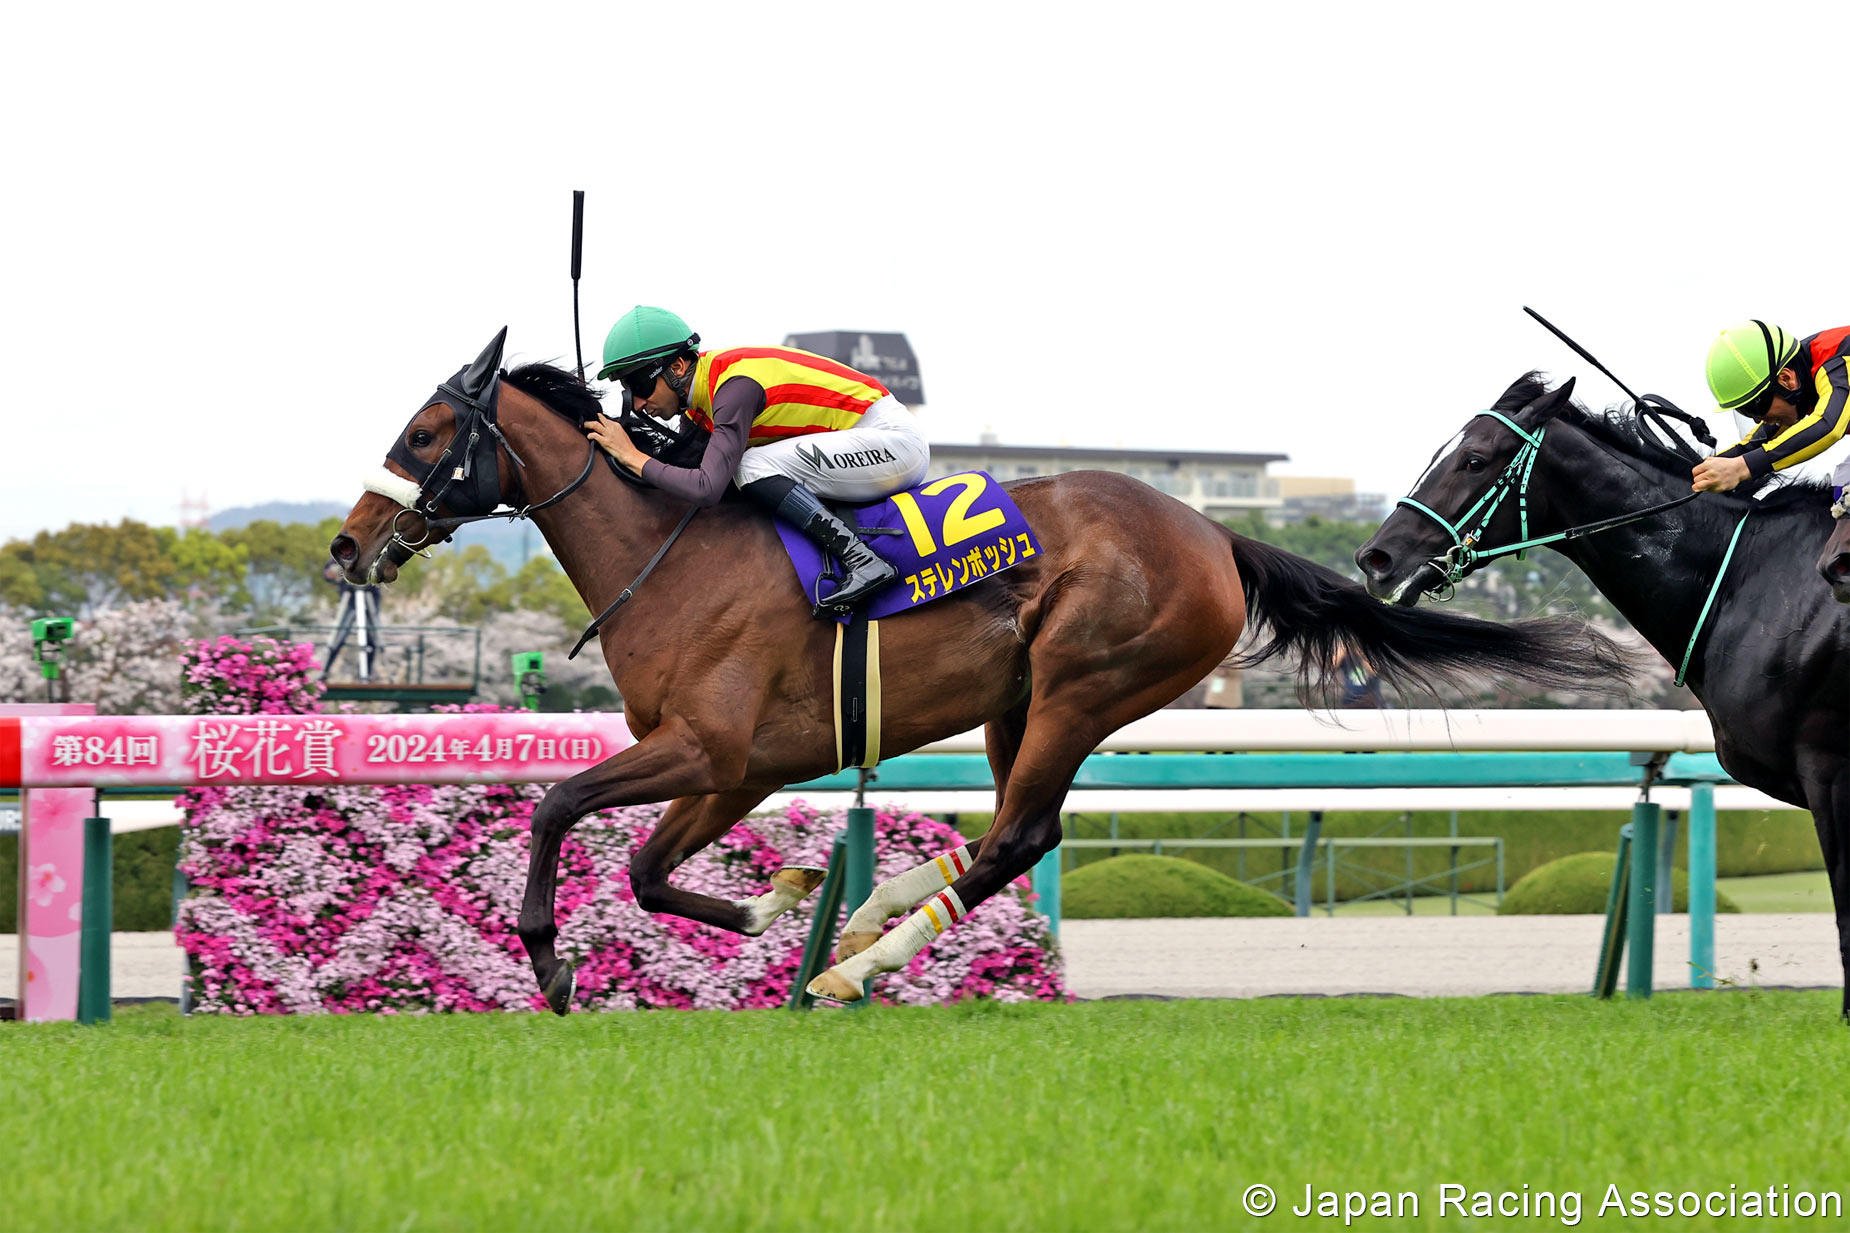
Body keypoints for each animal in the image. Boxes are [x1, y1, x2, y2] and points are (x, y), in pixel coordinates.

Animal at [333, 331, 1635, 1007]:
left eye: (423, 435)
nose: (347, 544)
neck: (674, 551)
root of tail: (1213, 534)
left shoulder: (705, 745)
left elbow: (556, 804)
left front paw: (550, 963)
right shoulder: (738, 767)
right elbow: (651, 873)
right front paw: (777, 898)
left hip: (1081, 681)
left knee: (1019, 833)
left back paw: (864, 962)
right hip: (1021, 701)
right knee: (1015, 830)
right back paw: (867, 923)